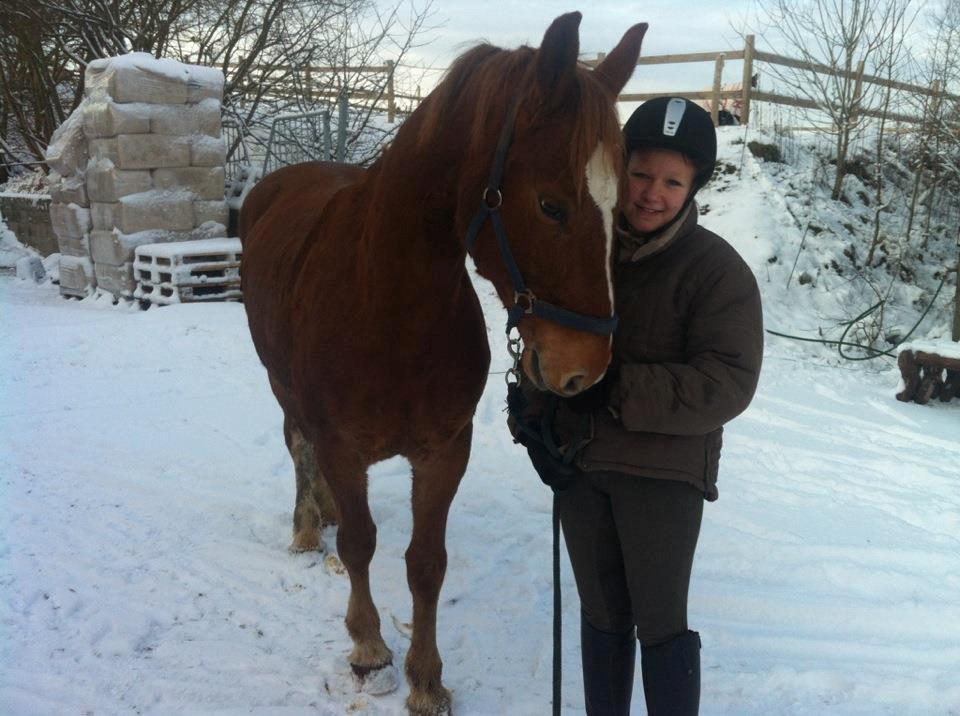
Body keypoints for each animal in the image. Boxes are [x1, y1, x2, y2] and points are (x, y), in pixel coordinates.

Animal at [238, 14, 644, 712]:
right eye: (551, 205)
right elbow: (362, 541)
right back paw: (308, 525)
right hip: (280, 384)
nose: (586, 368)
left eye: (619, 208)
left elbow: (426, 562)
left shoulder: (445, 450)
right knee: (298, 445)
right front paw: (369, 648)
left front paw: (426, 678)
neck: (388, 309)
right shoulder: (342, 445)